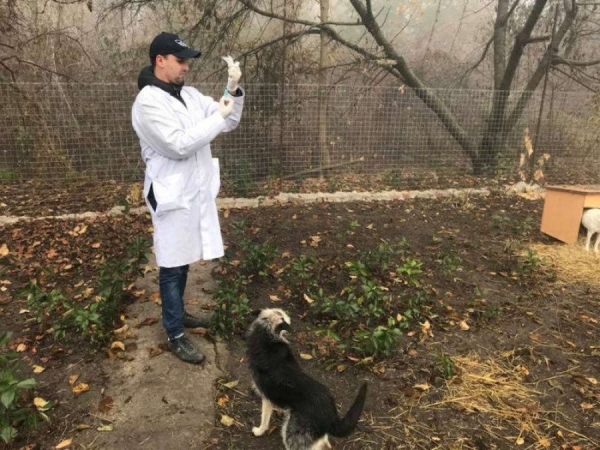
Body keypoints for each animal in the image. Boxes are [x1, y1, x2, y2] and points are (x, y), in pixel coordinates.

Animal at [246, 310, 368, 450]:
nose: (289, 318)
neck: (266, 336)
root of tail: (331, 418)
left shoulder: (266, 398)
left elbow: (264, 419)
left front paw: (259, 430)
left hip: (292, 437)